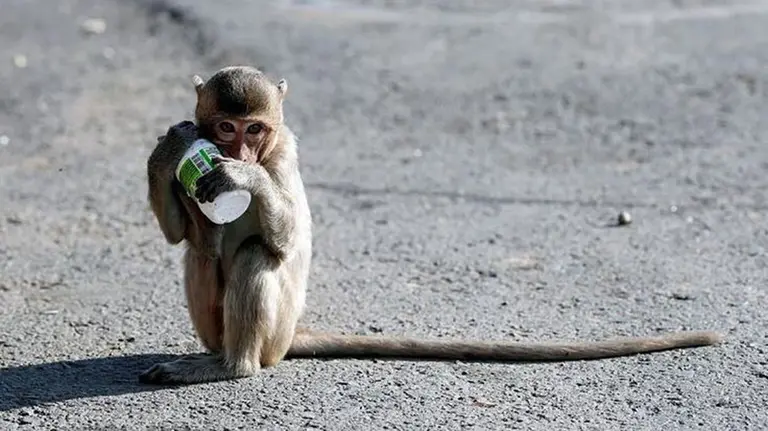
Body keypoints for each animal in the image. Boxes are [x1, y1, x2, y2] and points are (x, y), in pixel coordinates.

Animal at [140, 65, 723, 385]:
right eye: (225, 127)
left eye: (255, 130)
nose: (237, 152)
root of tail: (284, 341)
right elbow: (179, 233)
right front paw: (171, 150)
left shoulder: (283, 154)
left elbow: (284, 239)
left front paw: (242, 178)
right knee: (199, 251)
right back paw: (213, 354)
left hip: (276, 335)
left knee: (256, 254)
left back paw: (233, 367)